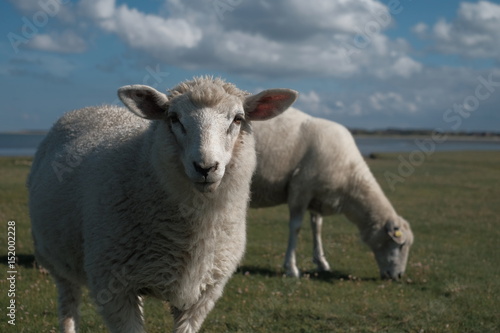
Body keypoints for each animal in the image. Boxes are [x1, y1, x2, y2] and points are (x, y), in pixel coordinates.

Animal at [27, 76, 296, 330]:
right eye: (174, 118)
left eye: (238, 119)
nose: (205, 167)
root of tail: (90, 108)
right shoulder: (113, 287)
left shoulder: (202, 295)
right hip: (56, 260)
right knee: (68, 306)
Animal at [250, 107, 414, 278]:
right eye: (401, 245)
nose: (398, 276)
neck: (350, 180)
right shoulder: (300, 189)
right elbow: (296, 227)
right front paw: (291, 268)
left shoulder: (317, 196)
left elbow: (317, 228)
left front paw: (321, 262)